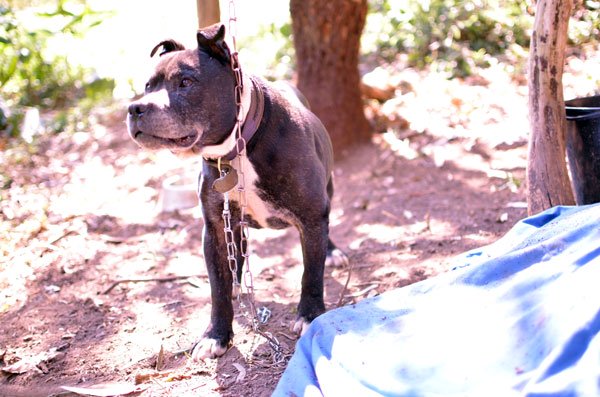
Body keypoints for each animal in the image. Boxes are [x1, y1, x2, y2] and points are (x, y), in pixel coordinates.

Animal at [126, 24, 346, 358]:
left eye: (186, 82)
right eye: (148, 86)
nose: (136, 108)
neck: (237, 148)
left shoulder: (310, 217)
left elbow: (311, 273)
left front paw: (310, 315)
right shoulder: (216, 228)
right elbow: (217, 288)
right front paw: (216, 335)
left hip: (326, 193)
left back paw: (331, 252)